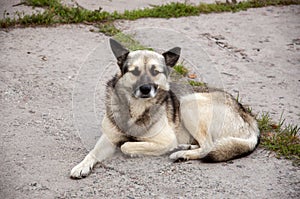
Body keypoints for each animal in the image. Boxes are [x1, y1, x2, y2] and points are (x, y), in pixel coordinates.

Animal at [71, 38, 260, 179]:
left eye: (155, 72)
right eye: (135, 71)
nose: (145, 89)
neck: (136, 109)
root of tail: (247, 115)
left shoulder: (165, 139)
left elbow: (127, 146)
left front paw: (132, 147)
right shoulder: (108, 138)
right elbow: (93, 152)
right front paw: (82, 166)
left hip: (188, 103)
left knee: (208, 146)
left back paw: (180, 153)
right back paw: (184, 149)